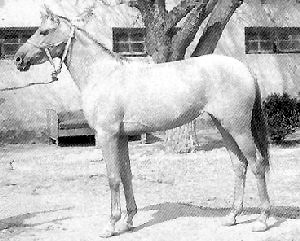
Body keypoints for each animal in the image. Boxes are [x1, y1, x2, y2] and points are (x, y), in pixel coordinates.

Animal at [14, 8, 270, 236]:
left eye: (44, 31)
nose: (18, 59)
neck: (103, 75)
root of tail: (244, 69)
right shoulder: (121, 137)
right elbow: (126, 174)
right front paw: (128, 221)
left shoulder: (106, 135)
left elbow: (113, 178)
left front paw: (111, 225)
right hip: (223, 126)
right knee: (239, 166)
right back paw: (232, 216)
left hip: (238, 128)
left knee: (256, 165)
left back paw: (263, 220)